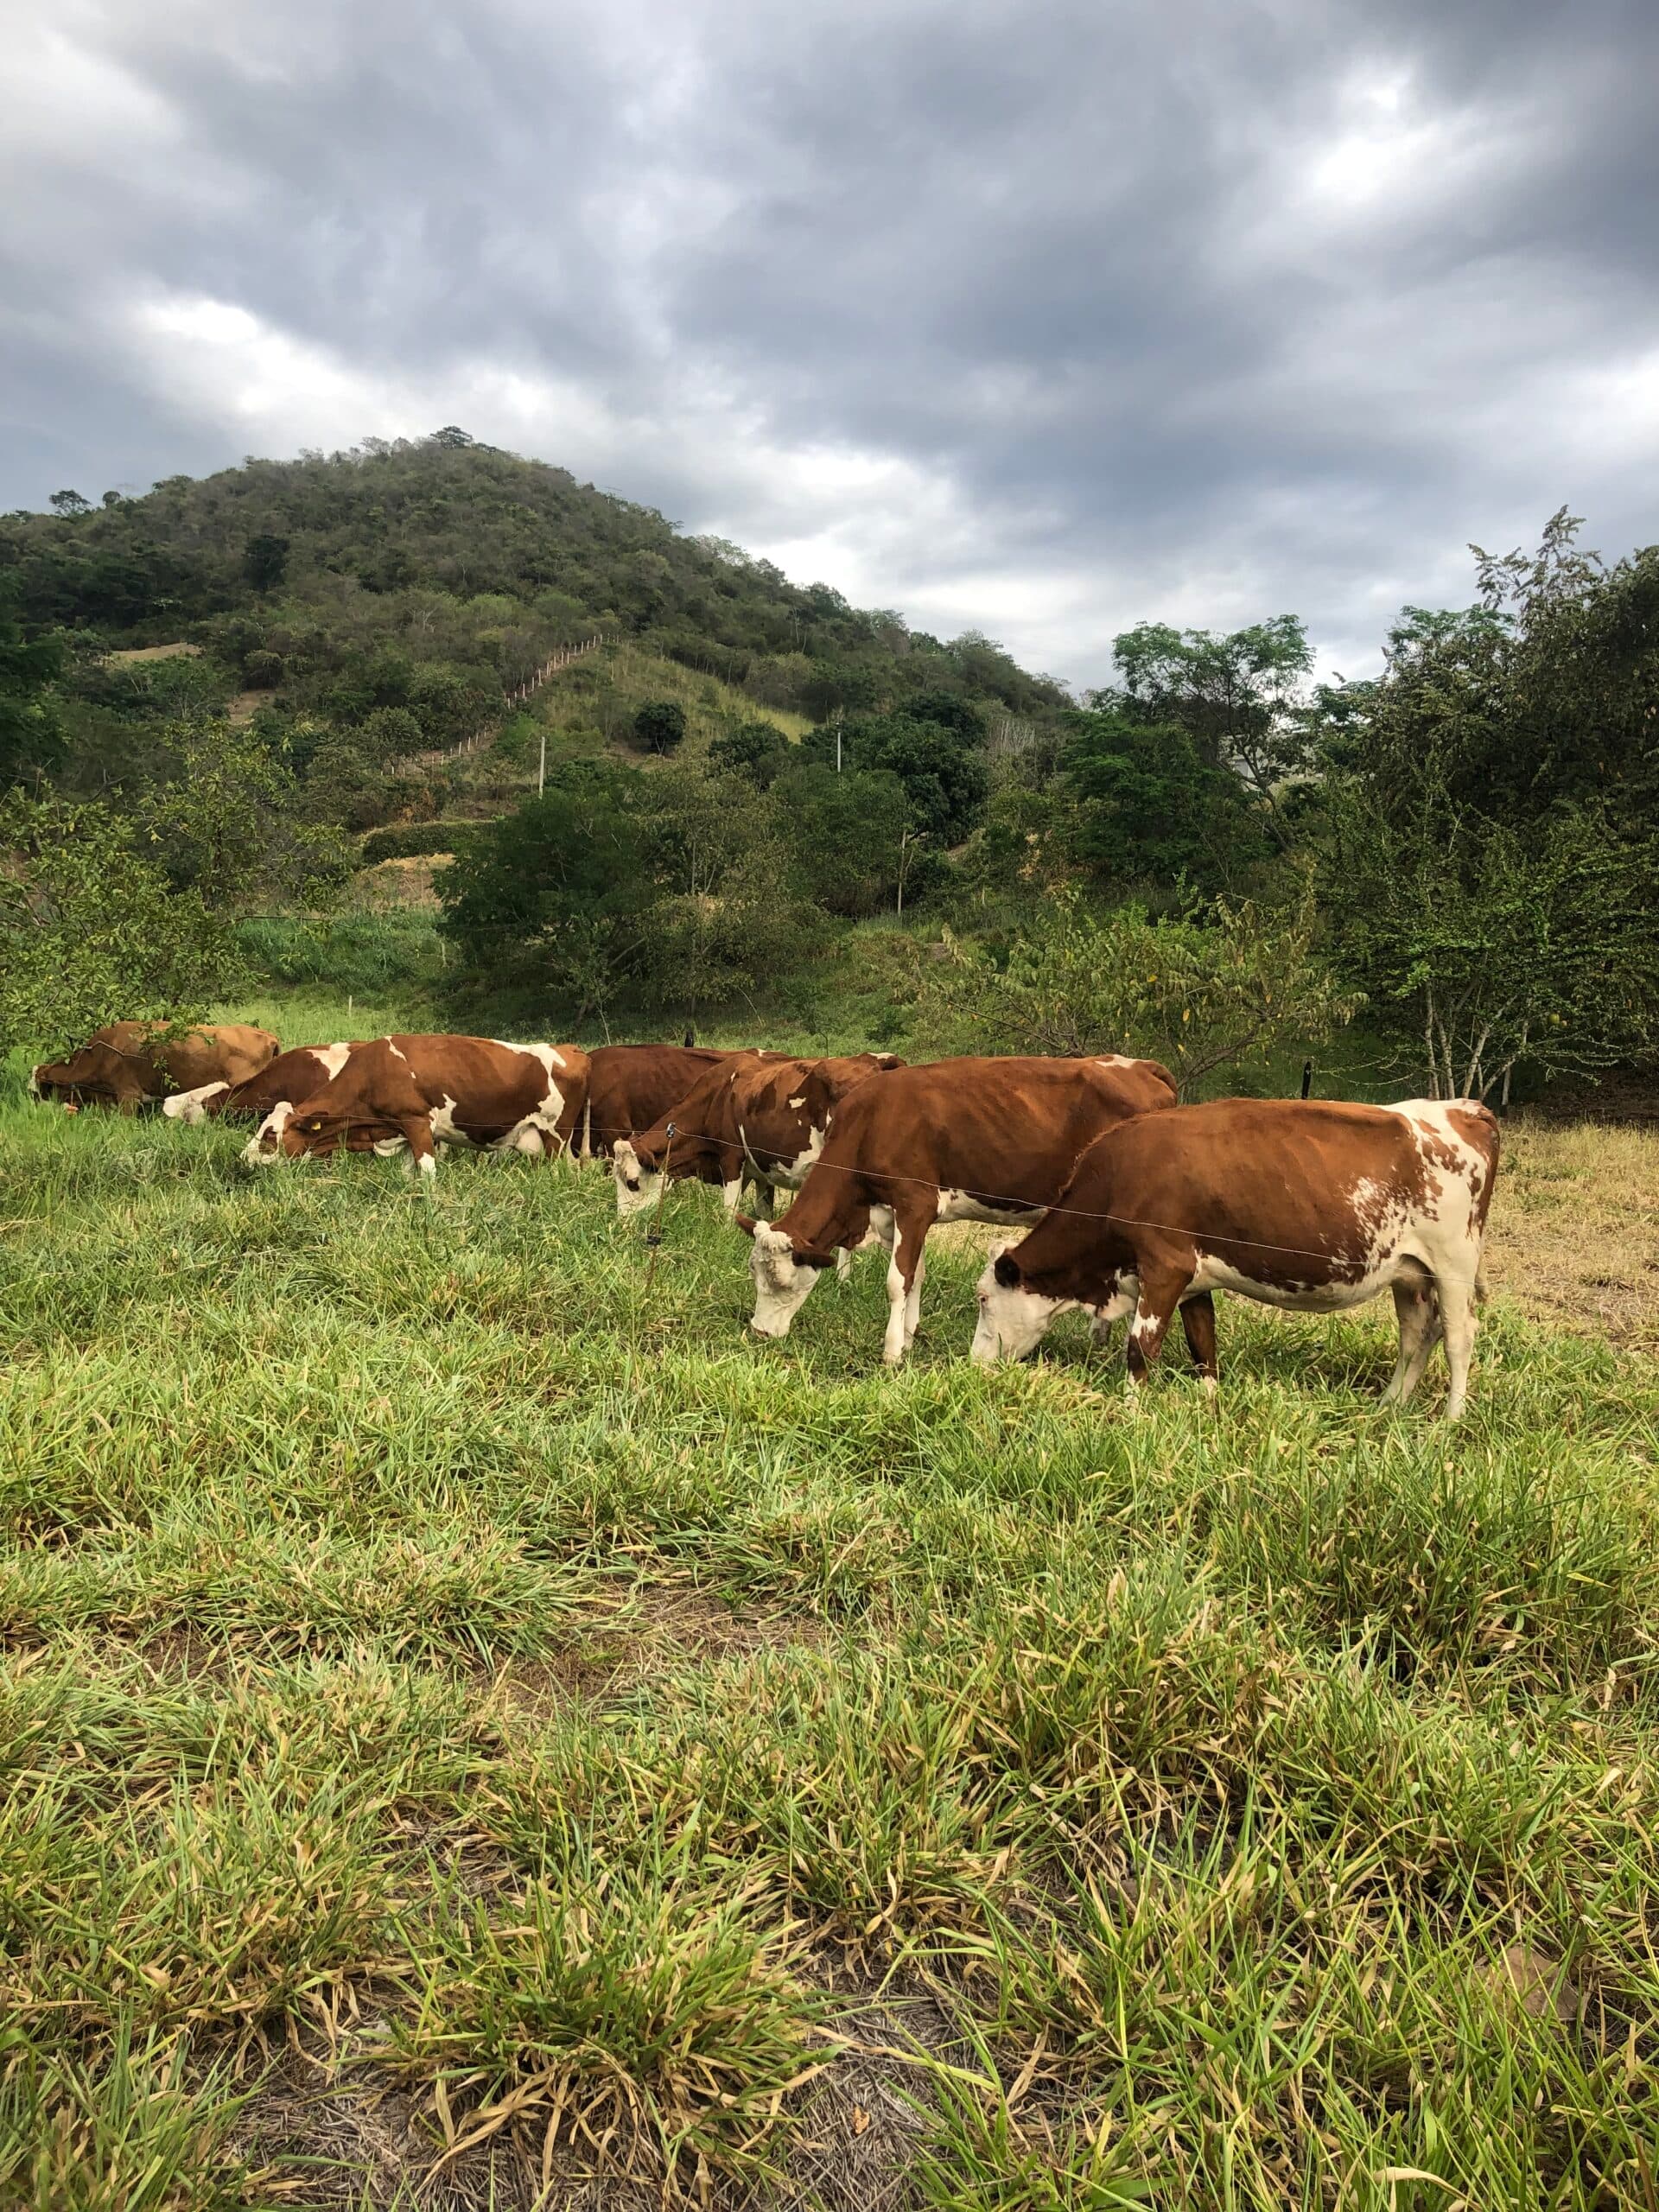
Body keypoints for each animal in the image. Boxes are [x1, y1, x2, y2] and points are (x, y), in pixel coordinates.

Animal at [248, 1036, 590, 1175]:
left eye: (270, 1134)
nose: (244, 1158)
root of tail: (571, 1049)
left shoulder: (417, 1123)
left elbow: (427, 1173)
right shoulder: (399, 1131)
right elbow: (407, 1174)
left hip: (556, 1137)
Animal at [740, 1055, 1177, 1363]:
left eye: (780, 1282)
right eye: (754, 1275)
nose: (759, 1332)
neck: (872, 1124)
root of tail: (1141, 1066)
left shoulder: (913, 1201)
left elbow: (896, 1281)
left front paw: (892, 1352)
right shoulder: (905, 1214)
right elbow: (915, 1275)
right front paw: (910, 1338)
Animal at [971, 1097, 1500, 1419]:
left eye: (982, 1299)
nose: (974, 1364)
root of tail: (1463, 1108)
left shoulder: (1165, 1266)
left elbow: (1140, 1349)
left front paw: (1131, 1414)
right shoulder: (1192, 1279)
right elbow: (1203, 1346)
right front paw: (1210, 1406)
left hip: (1454, 1263)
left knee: (1458, 1338)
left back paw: (1449, 1420)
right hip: (1409, 1271)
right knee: (1417, 1333)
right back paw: (1390, 1405)